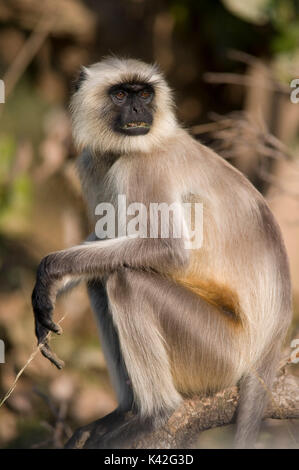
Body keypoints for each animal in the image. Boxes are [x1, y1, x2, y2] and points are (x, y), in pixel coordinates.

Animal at [31, 57, 292, 450]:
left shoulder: (142, 164)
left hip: (219, 354)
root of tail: (269, 343)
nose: (139, 110)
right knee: (102, 278)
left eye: (144, 95)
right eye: (121, 95)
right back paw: (125, 412)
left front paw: (50, 270)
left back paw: (155, 415)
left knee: (125, 280)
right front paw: (50, 287)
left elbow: (167, 250)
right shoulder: (93, 162)